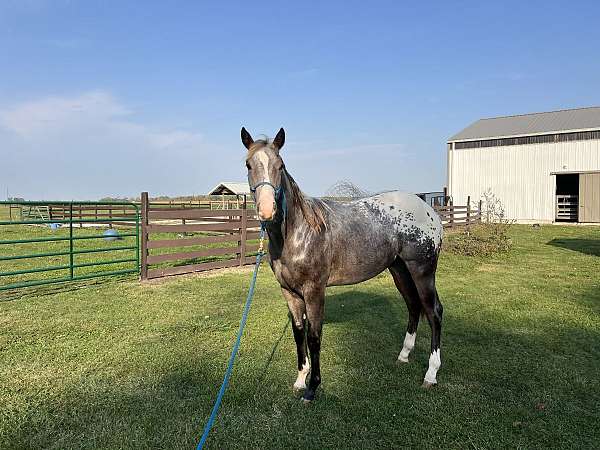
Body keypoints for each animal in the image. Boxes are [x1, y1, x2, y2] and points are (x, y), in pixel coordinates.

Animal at [241, 126, 442, 400]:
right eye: (248, 164)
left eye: (280, 165)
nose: (266, 210)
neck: (297, 232)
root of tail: (430, 211)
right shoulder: (289, 292)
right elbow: (298, 333)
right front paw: (300, 379)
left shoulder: (314, 291)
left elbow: (314, 336)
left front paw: (312, 388)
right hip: (399, 270)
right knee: (413, 306)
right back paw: (403, 356)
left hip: (422, 271)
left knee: (433, 312)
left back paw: (431, 374)